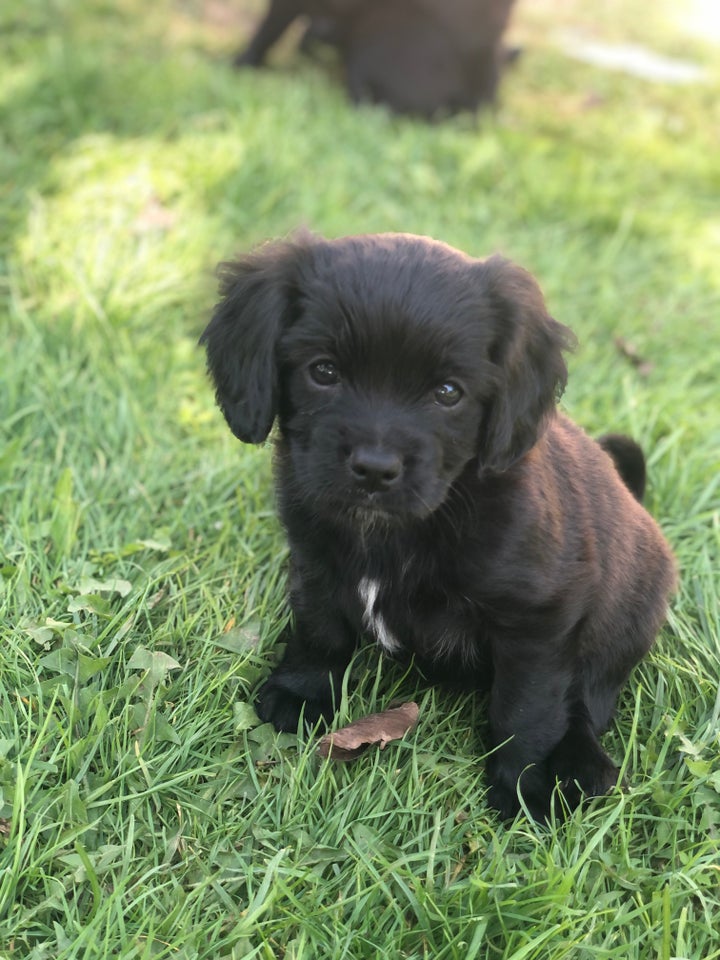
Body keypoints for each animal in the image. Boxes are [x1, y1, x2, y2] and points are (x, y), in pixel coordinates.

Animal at [200, 232, 676, 816]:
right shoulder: (313, 563)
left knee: (590, 697)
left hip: (623, 622)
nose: (374, 468)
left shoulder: (539, 620)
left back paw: (581, 764)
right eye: (323, 371)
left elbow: (527, 707)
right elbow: (319, 630)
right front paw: (301, 692)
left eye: (449, 393)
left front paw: (525, 784)